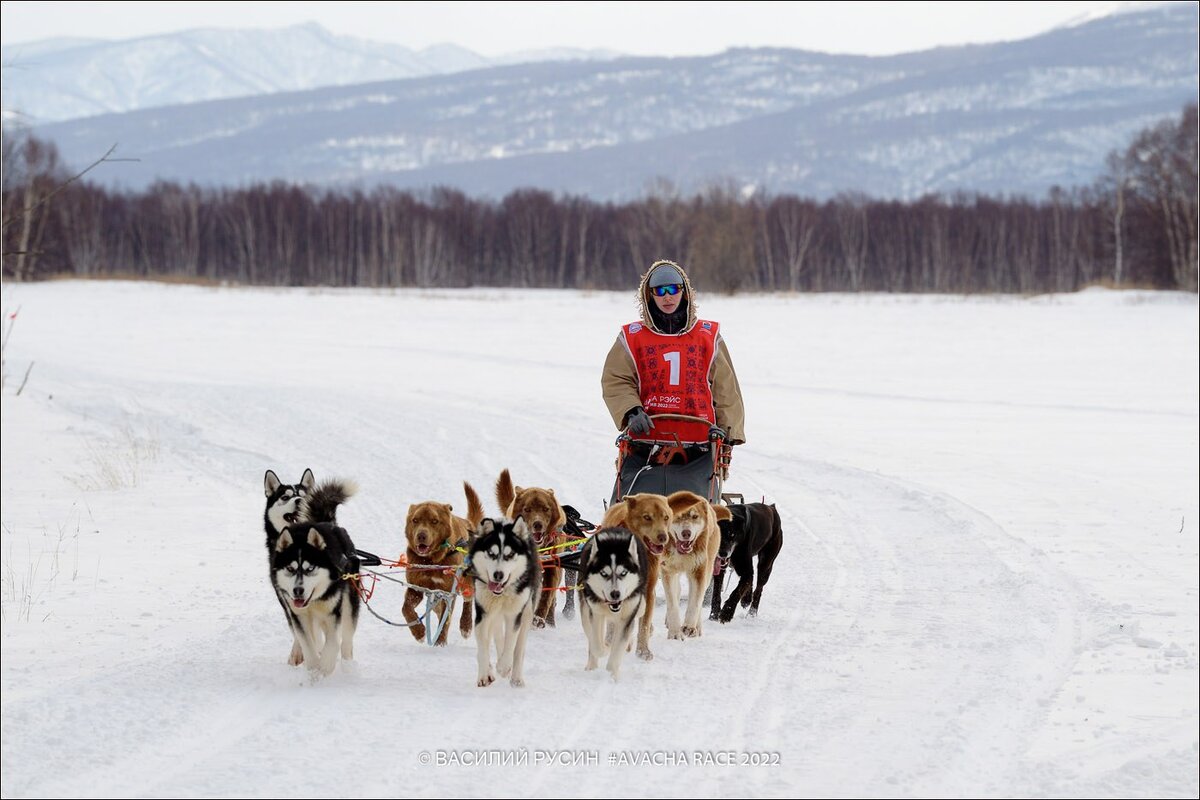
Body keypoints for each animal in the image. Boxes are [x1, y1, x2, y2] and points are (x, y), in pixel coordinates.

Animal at [398, 482, 482, 642]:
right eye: (415, 520)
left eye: (434, 521)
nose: (421, 535)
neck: (431, 560)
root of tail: (468, 524)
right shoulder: (416, 587)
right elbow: (406, 609)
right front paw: (419, 632)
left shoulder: (448, 592)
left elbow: (445, 621)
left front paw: (439, 643)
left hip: (465, 582)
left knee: (468, 599)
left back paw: (466, 625)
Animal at [496, 470, 571, 633]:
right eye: (527, 509)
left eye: (546, 509)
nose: (538, 524)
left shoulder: (553, 568)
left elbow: (547, 595)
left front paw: (539, 618)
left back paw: (550, 622)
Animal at [600, 494, 676, 662]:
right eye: (647, 517)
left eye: (666, 517)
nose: (663, 537)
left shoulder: (648, 592)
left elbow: (644, 624)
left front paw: (643, 651)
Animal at [662, 491, 724, 642]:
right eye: (677, 517)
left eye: (695, 516)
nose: (686, 533)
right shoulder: (667, 570)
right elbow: (672, 603)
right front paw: (674, 632)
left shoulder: (699, 571)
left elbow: (695, 601)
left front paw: (689, 626)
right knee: (677, 591)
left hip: (708, 570)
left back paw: (697, 627)